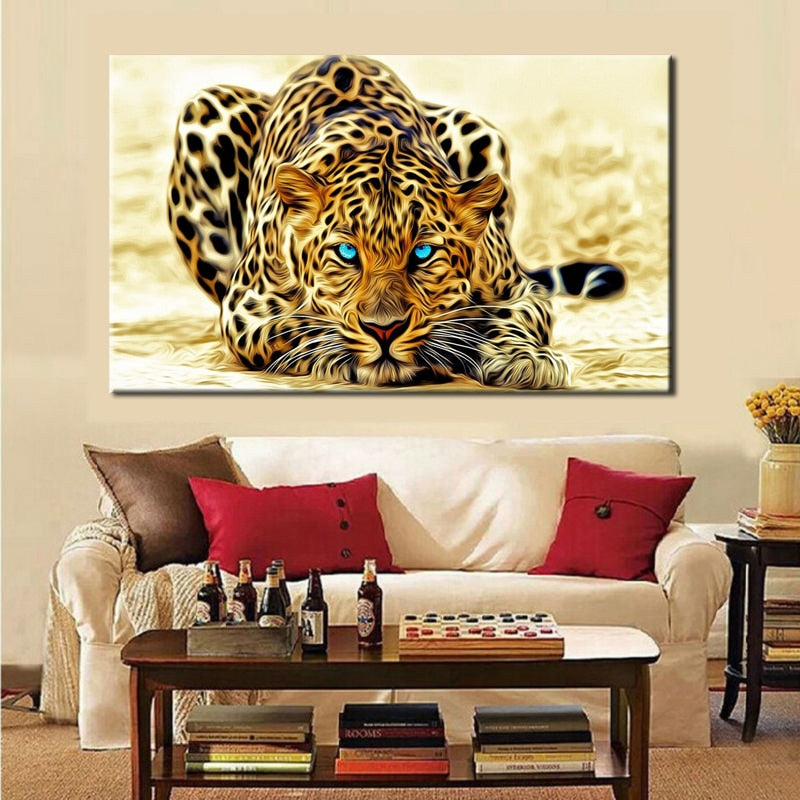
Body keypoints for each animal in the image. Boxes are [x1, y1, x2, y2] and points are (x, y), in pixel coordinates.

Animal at [167, 55, 625, 389]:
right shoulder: (246, 308)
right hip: (205, 110)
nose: (383, 331)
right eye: (346, 252)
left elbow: (510, 318)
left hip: (477, 128)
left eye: (423, 252)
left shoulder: (520, 291)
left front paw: (523, 358)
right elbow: (298, 325)